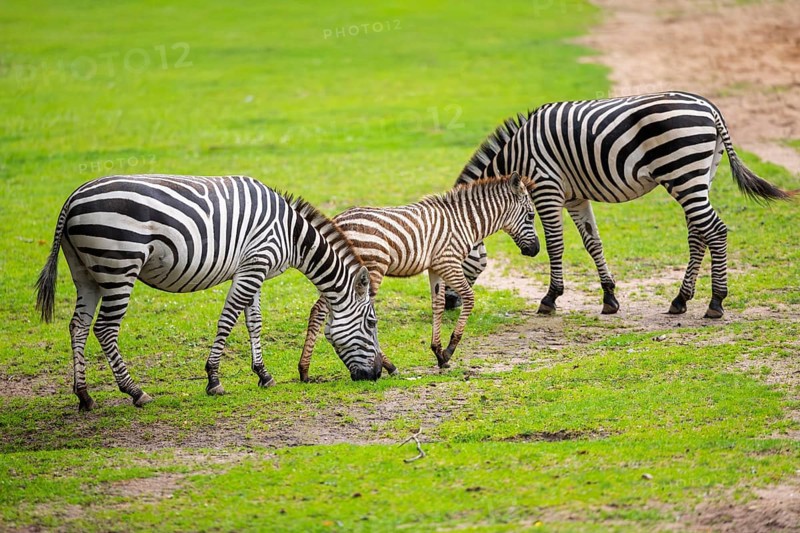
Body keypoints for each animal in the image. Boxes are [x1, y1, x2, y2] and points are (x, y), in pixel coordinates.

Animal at [35, 174, 382, 411]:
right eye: (372, 324)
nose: (378, 373)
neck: (291, 235)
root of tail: (73, 198)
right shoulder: (254, 265)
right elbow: (228, 320)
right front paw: (214, 379)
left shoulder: (252, 269)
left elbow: (254, 321)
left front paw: (263, 374)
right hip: (119, 265)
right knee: (105, 329)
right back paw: (135, 392)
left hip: (86, 273)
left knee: (78, 326)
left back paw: (84, 395)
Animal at [298, 173, 539, 381]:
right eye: (531, 216)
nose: (536, 250)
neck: (465, 221)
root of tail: (338, 219)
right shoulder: (449, 262)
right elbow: (469, 298)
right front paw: (450, 349)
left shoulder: (435, 267)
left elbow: (438, 305)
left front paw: (438, 353)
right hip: (370, 269)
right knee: (335, 312)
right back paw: (386, 366)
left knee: (320, 310)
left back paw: (305, 370)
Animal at [445, 92, 795, 318]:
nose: (448, 305)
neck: (517, 156)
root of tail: (709, 107)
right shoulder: (575, 197)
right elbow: (593, 243)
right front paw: (609, 297)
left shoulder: (547, 189)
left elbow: (556, 245)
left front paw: (550, 298)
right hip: (699, 176)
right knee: (699, 234)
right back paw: (680, 299)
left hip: (683, 173)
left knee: (716, 231)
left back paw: (716, 303)